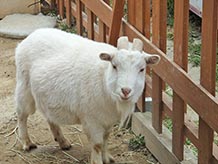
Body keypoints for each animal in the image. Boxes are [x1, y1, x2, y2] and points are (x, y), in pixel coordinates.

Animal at [14, 28, 158, 164]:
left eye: (142, 69)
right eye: (114, 66)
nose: (126, 91)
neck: (103, 78)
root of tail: (33, 34)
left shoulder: (107, 120)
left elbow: (106, 139)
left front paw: (107, 158)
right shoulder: (91, 119)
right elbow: (98, 144)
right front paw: (97, 161)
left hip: (46, 96)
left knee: (49, 117)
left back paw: (63, 142)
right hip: (24, 87)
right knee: (22, 114)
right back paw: (27, 142)